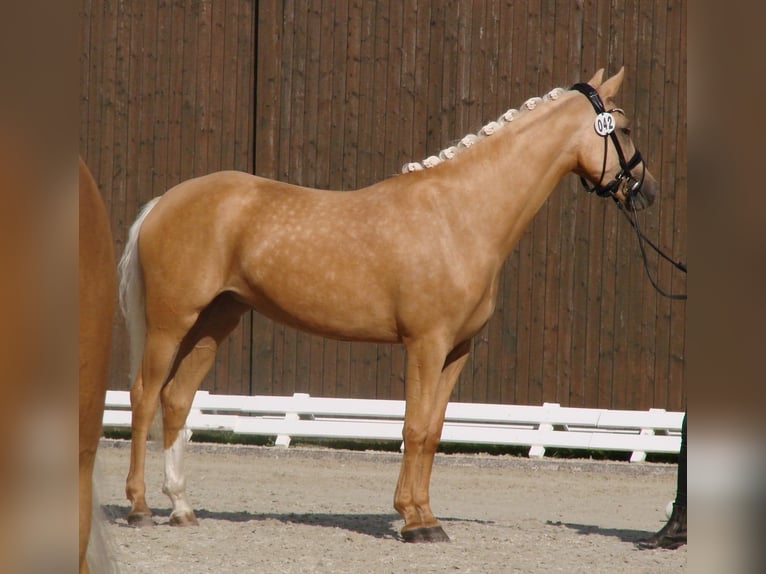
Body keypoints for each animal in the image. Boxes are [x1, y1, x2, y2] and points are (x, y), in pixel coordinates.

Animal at [120, 68, 660, 544]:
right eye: (624, 128)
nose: (646, 190)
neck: (460, 215)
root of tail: (165, 201)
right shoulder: (425, 344)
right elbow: (414, 428)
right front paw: (415, 523)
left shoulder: (457, 350)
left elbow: (434, 431)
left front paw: (425, 516)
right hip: (171, 323)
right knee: (145, 396)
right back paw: (140, 508)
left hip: (216, 321)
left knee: (177, 399)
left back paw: (182, 508)